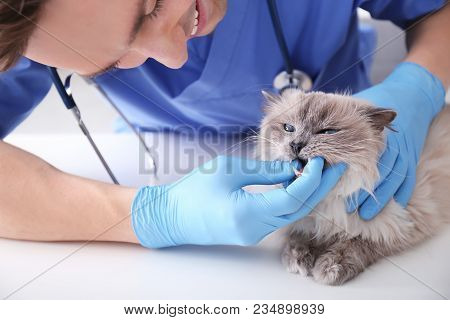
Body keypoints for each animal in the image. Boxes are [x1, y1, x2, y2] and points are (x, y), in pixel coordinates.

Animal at [256, 89, 450, 284]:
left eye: (327, 131)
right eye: (289, 128)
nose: (296, 145)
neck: (327, 199)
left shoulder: (404, 222)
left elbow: (355, 244)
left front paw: (330, 268)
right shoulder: (304, 222)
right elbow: (300, 236)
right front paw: (298, 259)